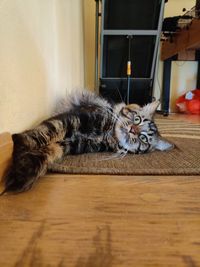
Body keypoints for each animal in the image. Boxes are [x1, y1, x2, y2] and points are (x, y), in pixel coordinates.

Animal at [0, 90, 173, 195]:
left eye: (144, 138)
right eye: (137, 119)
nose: (133, 130)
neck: (108, 133)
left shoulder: (74, 143)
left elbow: (49, 151)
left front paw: (23, 172)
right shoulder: (75, 119)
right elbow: (44, 133)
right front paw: (20, 146)